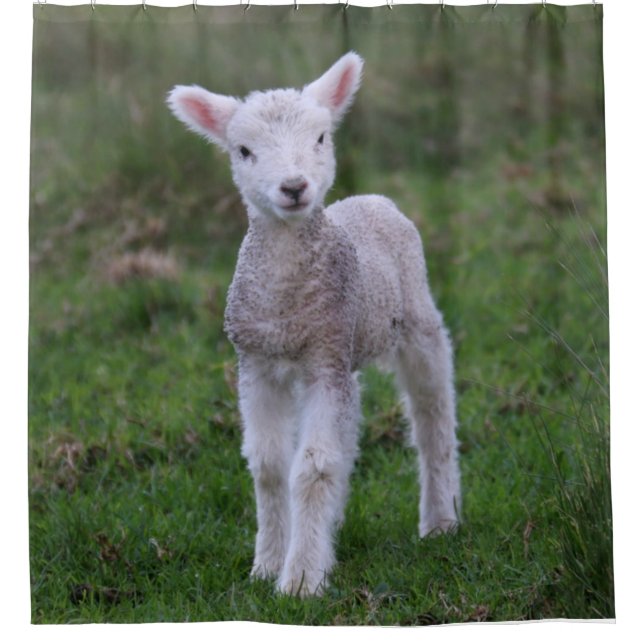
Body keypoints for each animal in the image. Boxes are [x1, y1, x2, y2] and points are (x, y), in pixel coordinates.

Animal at [167, 52, 461, 597]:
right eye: (243, 151)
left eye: (321, 138)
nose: (294, 187)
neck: (286, 300)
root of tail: (372, 199)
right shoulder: (258, 363)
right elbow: (270, 467)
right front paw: (267, 564)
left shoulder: (325, 360)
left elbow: (313, 467)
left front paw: (301, 579)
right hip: (344, 354)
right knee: (348, 436)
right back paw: (334, 527)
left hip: (415, 319)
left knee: (433, 417)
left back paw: (440, 520)